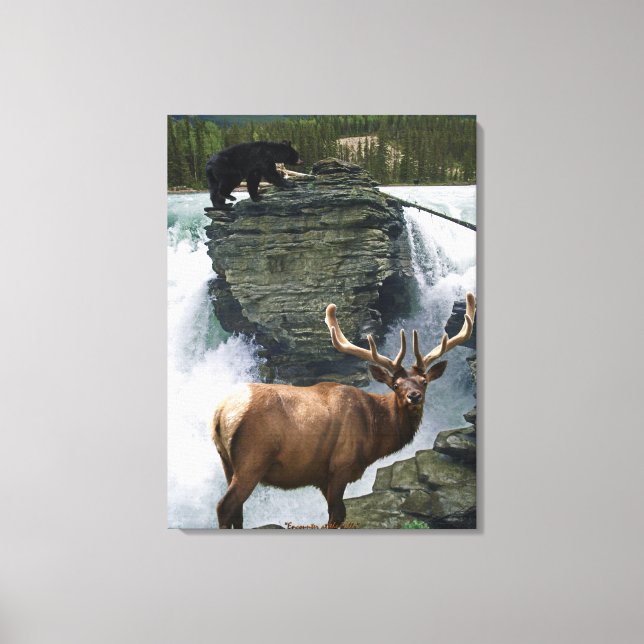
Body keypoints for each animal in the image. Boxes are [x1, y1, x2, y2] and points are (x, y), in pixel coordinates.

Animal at [211, 292, 476, 528]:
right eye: (396, 385)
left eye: (424, 381)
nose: (414, 396)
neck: (374, 433)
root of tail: (219, 413)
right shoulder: (341, 465)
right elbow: (337, 516)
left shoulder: (322, 476)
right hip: (252, 459)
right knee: (225, 506)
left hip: (226, 462)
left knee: (237, 511)